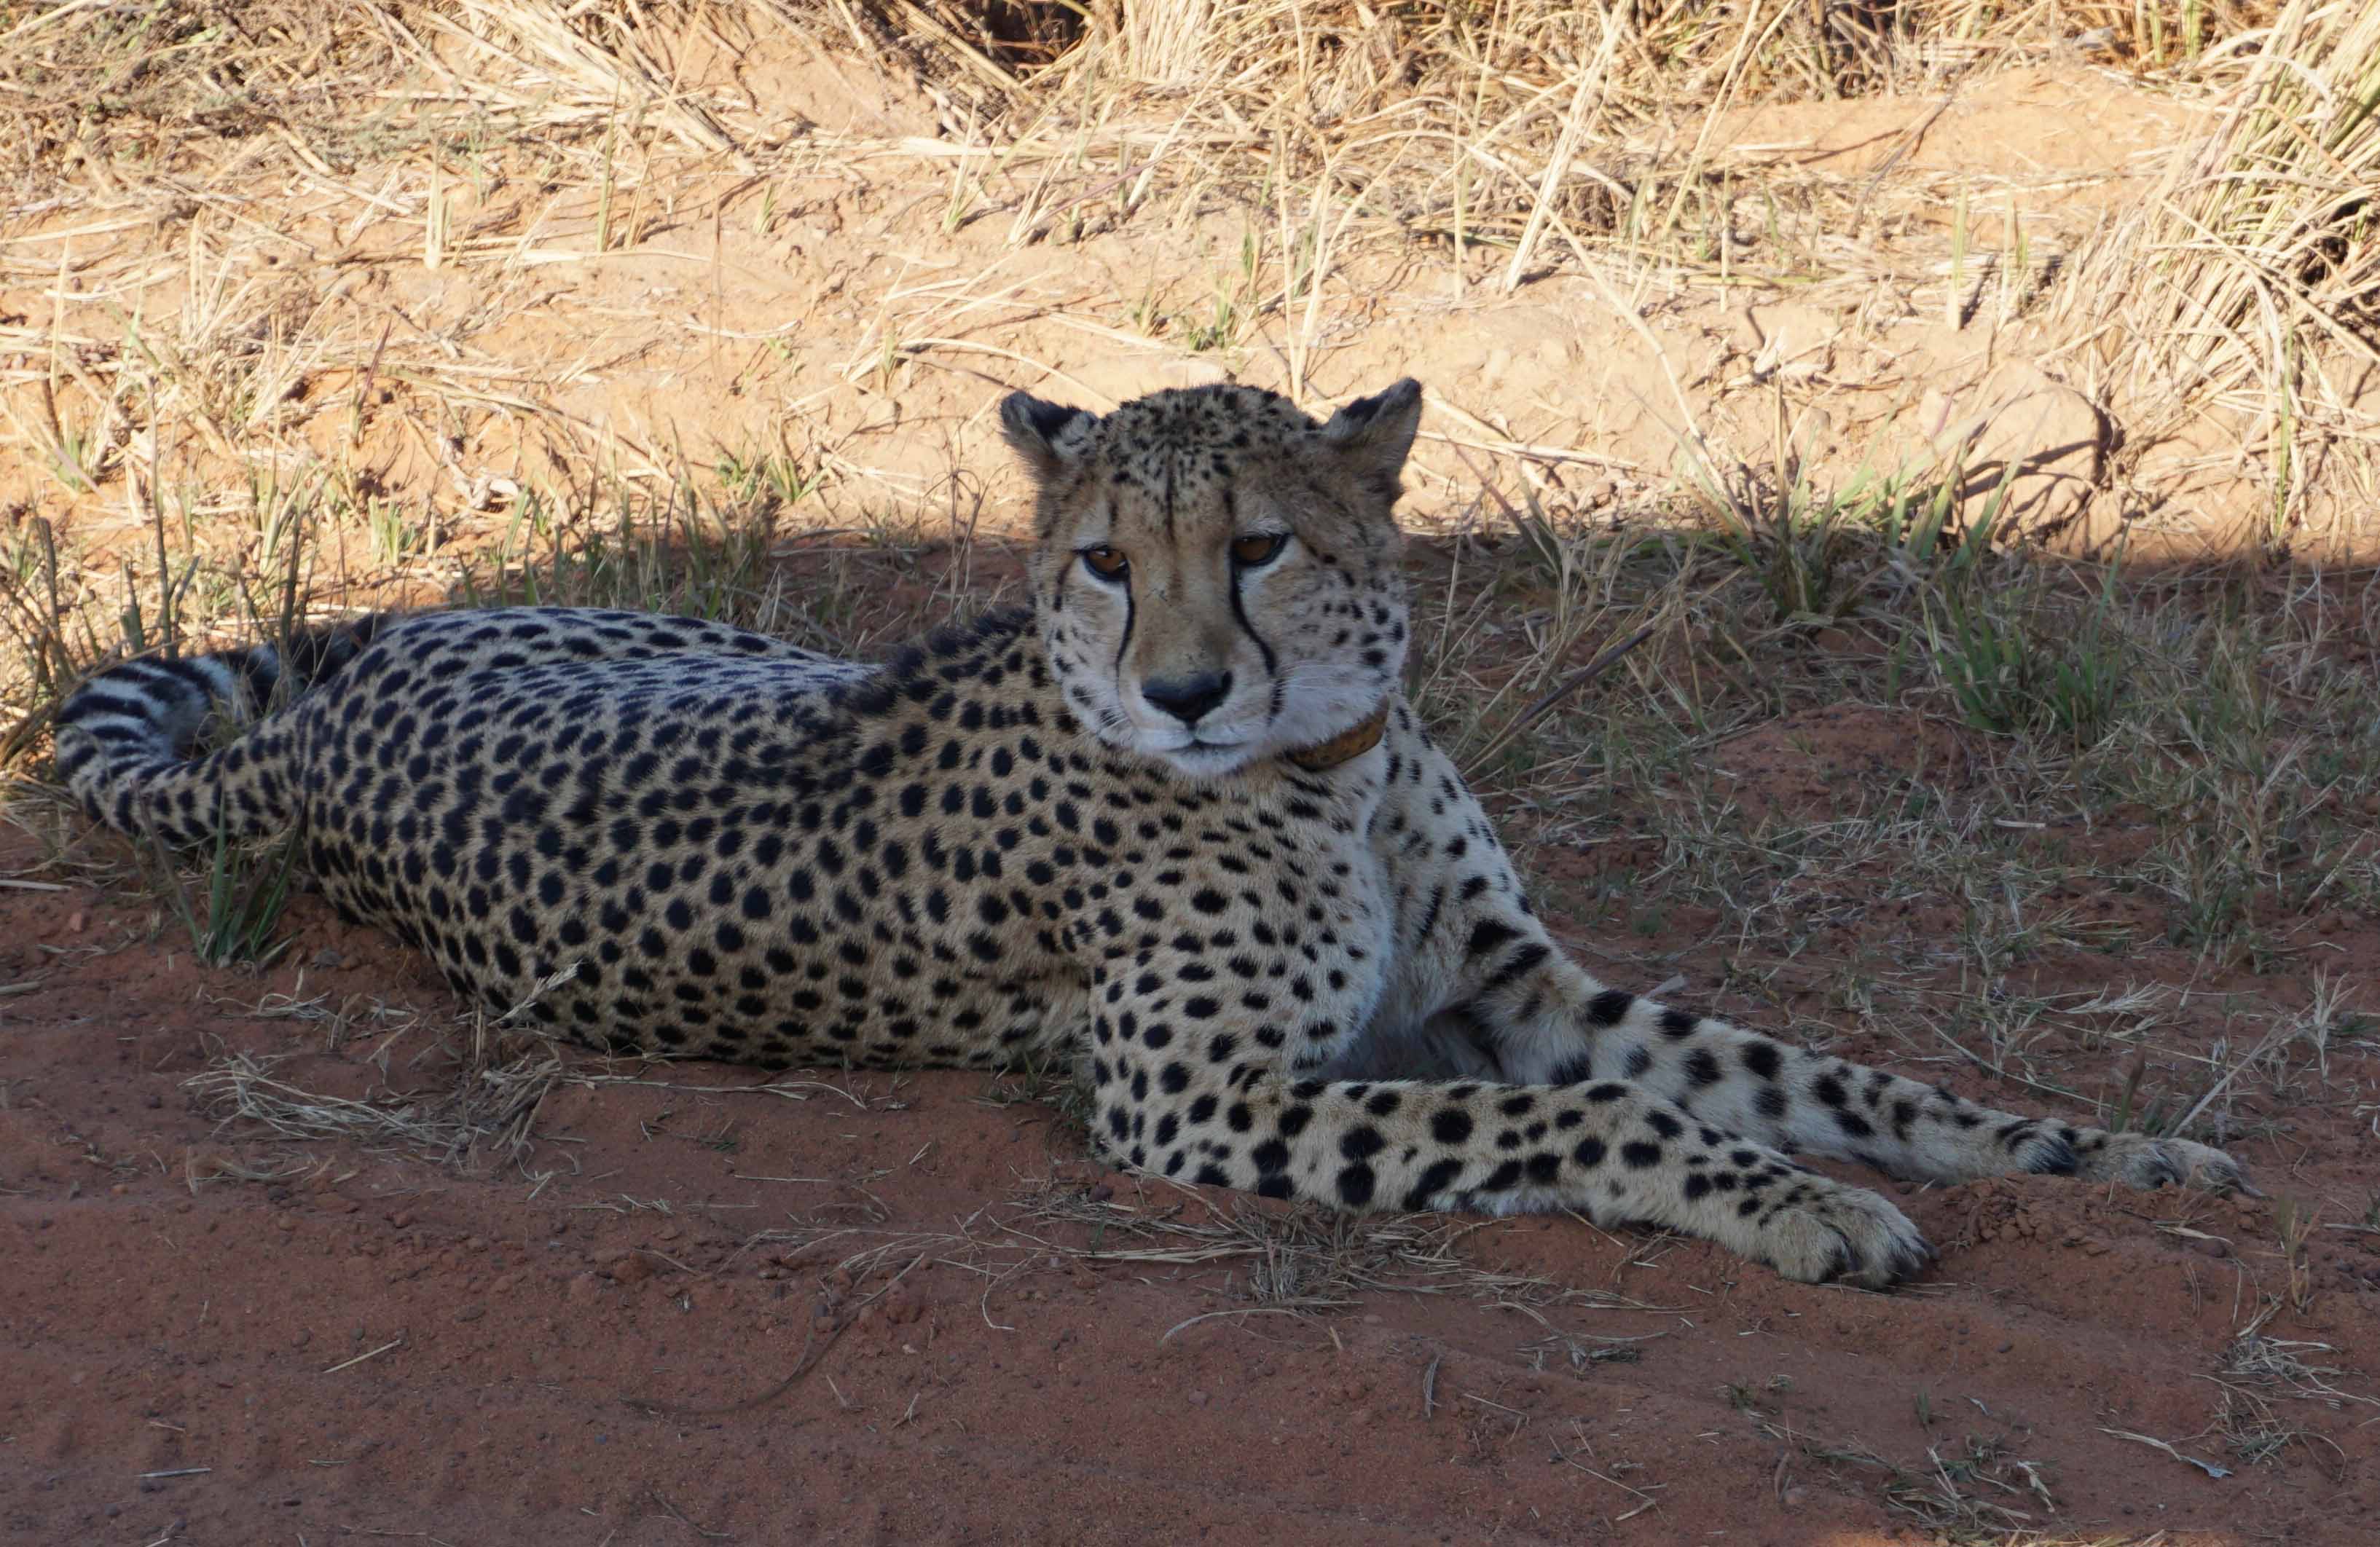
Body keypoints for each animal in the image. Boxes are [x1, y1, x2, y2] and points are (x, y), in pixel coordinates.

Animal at [54, 377, 2246, 1287]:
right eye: (1107, 562)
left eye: (1258, 545)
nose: (1188, 687)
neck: (1328, 760)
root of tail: (330, 719)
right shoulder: (1201, 1102)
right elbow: (1596, 1119)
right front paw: (1792, 1208)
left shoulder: (1523, 987)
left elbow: (1828, 1073)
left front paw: (2112, 1149)